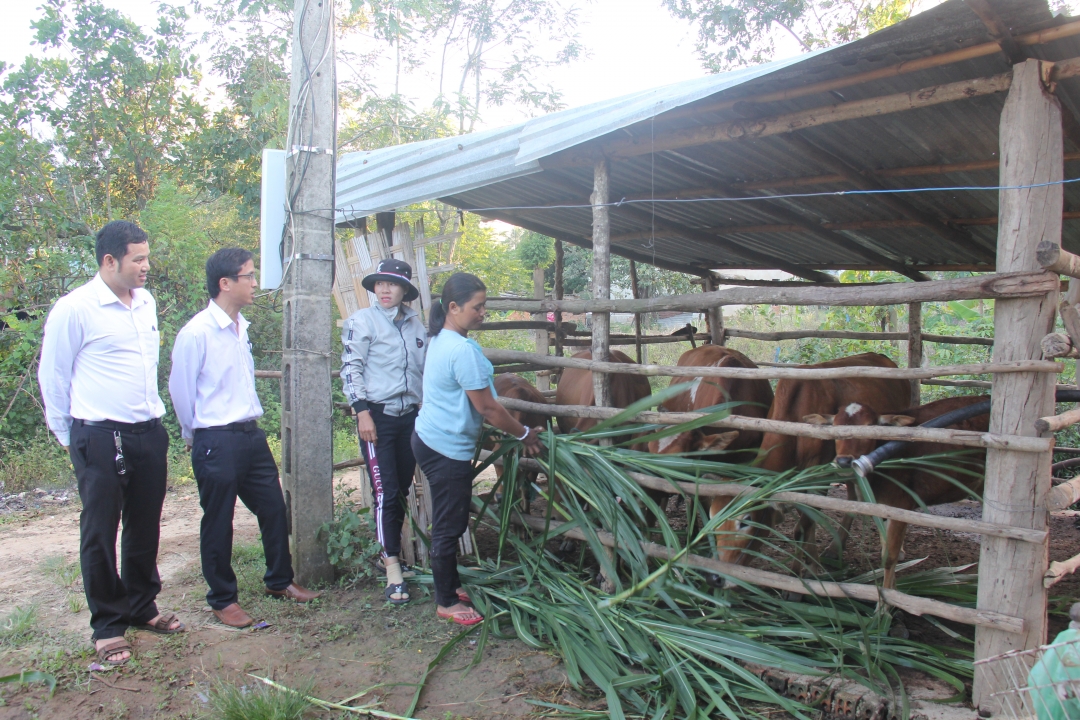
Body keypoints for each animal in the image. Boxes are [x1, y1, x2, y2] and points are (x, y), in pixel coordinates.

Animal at [712, 354, 907, 569]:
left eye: (746, 521)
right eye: (713, 516)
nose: (717, 573)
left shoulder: (819, 471)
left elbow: (803, 525)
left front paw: (800, 570)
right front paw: (812, 558)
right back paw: (835, 549)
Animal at [807, 395, 989, 591]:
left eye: (869, 427)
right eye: (834, 426)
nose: (844, 461)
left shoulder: (901, 504)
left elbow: (889, 557)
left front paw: (886, 597)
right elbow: (885, 547)